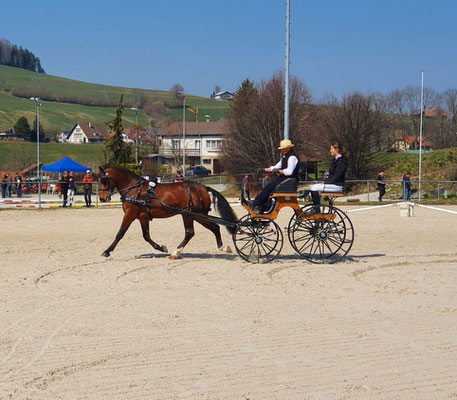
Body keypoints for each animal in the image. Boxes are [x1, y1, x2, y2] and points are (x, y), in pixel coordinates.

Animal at [97, 166, 237, 258]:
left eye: (104, 180)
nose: (102, 198)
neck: (135, 189)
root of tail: (203, 187)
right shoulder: (142, 217)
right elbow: (146, 236)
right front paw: (161, 248)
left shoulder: (130, 214)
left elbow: (120, 233)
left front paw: (107, 251)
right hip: (194, 215)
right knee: (211, 228)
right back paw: (222, 247)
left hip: (193, 215)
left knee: (193, 232)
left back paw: (177, 252)